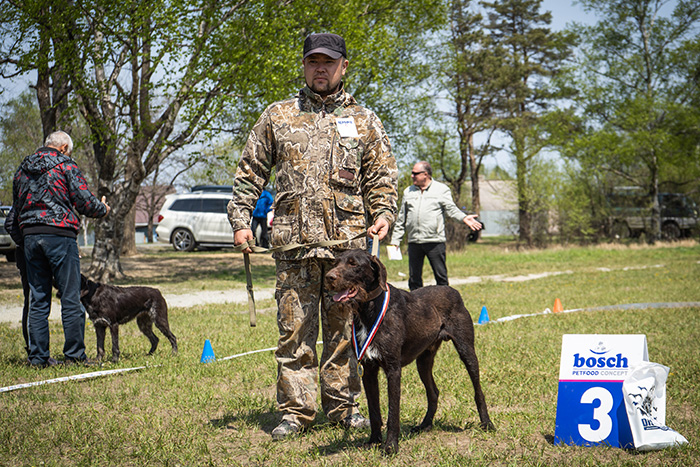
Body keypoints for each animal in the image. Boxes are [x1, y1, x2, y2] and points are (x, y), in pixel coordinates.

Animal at [326, 250, 494, 456]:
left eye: (353, 264)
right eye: (335, 262)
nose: (329, 277)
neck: (369, 309)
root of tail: (452, 290)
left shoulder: (393, 369)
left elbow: (393, 412)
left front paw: (390, 446)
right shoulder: (369, 371)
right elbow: (374, 411)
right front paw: (373, 441)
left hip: (467, 351)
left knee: (478, 390)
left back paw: (486, 423)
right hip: (423, 361)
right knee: (433, 392)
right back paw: (425, 425)